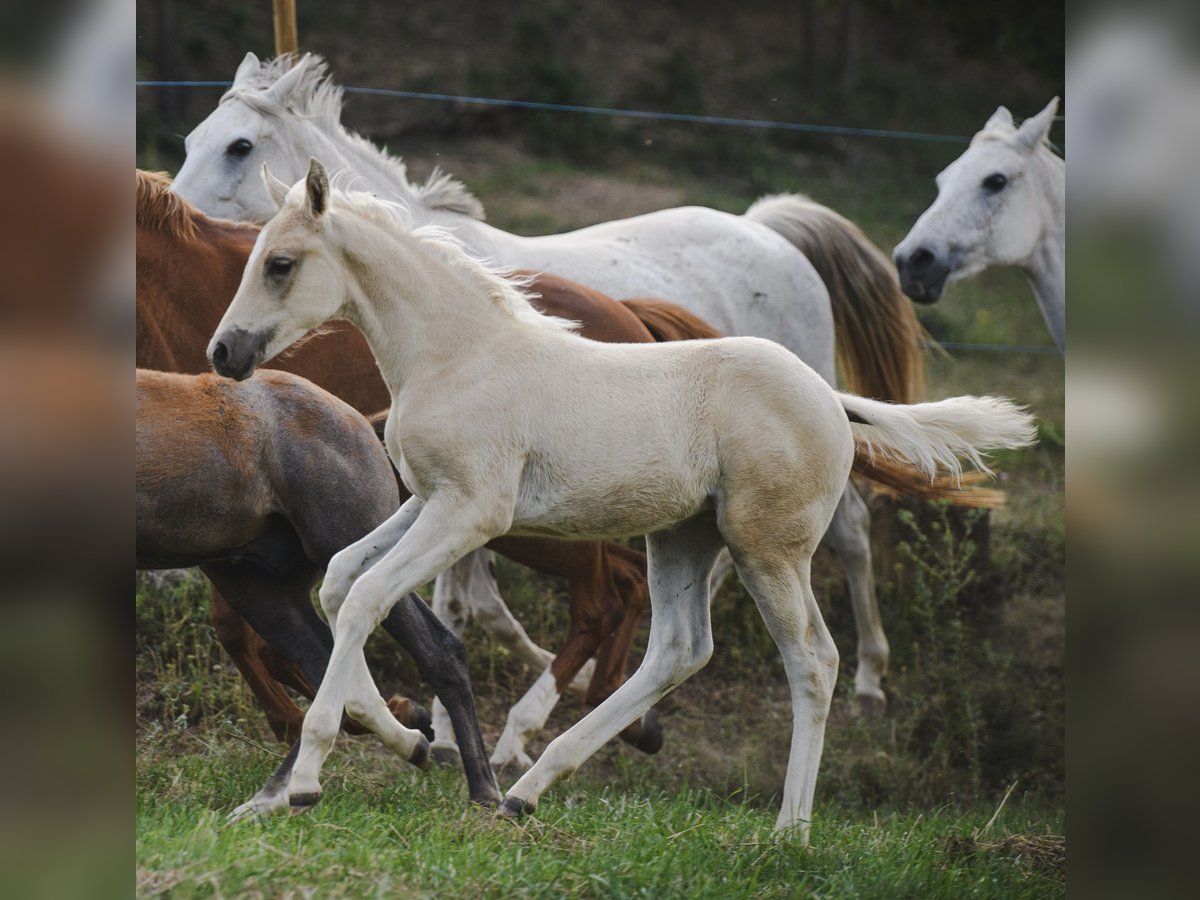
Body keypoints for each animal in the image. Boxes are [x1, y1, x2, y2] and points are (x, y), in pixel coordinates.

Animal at [204, 158, 1032, 844]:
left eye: (280, 264)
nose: (223, 352)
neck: (458, 353)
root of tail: (831, 398)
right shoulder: (427, 502)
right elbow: (343, 580)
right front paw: (390, 736)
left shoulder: (472, 511)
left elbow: (367, 594)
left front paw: (310, 778)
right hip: (684, 537)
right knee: (679, 649)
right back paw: (529, 789)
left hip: (766, 547)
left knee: (813, 660)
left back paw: (789, 831)